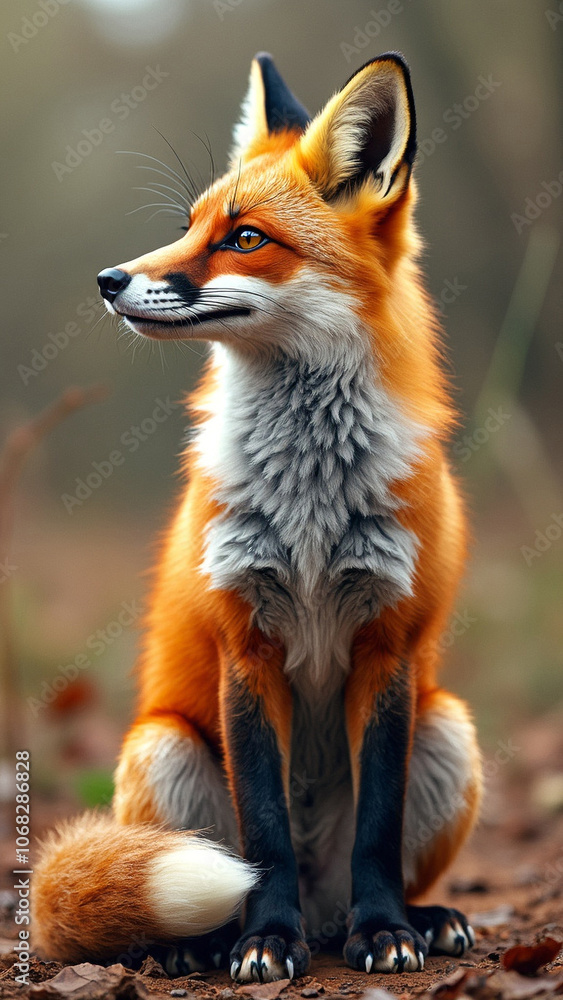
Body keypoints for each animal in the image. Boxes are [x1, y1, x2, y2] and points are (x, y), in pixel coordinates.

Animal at [31, 52, 482, 982]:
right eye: (189, 225)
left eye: (245, 238)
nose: (108, 280)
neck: (309, 501)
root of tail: (321, 904)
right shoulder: (245, 641)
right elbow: (266, 832)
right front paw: (264, 942)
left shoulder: (387, 644)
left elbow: (377, 830)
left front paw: (387, 933)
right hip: (161, 747)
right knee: (227, 877)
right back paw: (207, 942)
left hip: (447, 724)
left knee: (361, 877)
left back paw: (406, 919)